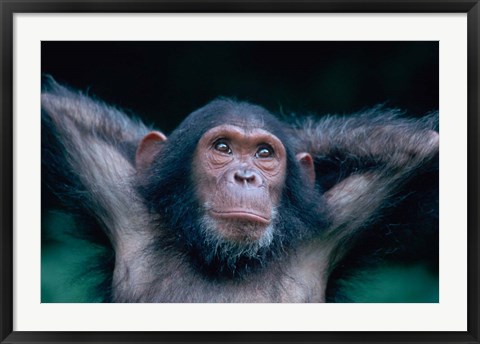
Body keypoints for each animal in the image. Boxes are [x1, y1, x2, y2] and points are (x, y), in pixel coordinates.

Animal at [41, 77, 438, 300]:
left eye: (264, 153)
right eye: (223, 148)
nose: (246, 175)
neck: (224, 260)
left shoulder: (339, 222)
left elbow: (424, 147)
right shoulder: (115, 196)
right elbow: (58, 110)